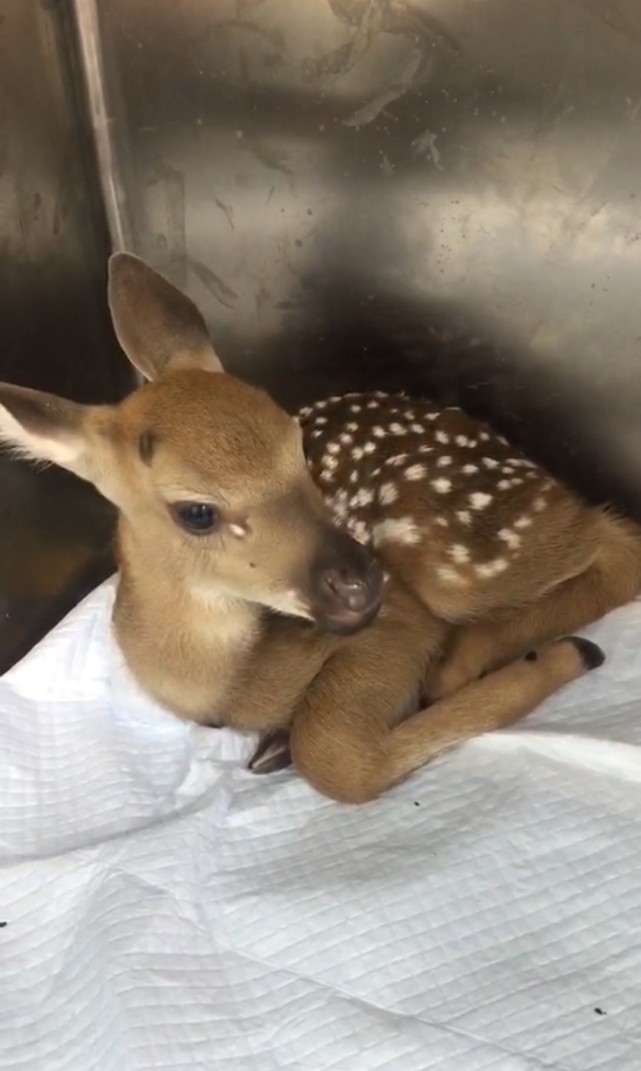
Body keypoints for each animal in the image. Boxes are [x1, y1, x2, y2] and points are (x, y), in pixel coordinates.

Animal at [1, 252, 637, 805]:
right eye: (196, 512)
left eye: (297, 443)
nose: (363, 582)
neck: (222, 679)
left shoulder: (395, 621)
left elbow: (333, 759)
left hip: (458, 558)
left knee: (615, 546)